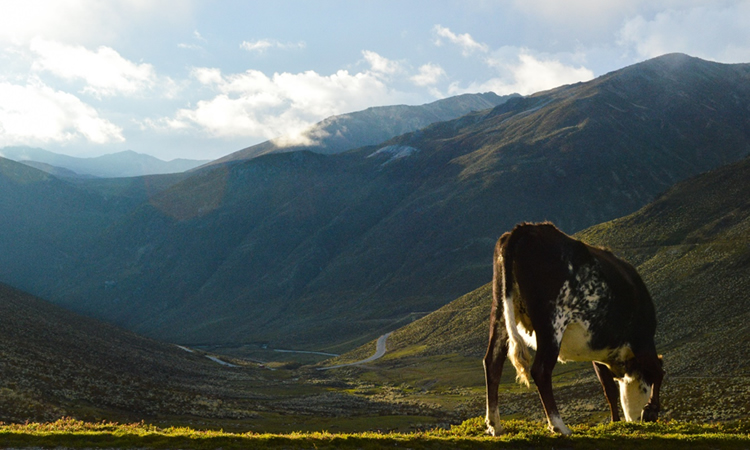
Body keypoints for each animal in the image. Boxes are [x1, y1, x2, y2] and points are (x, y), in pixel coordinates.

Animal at [482, 223, 664, 434]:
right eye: (644, 388)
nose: (634, 420)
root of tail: (526, 229)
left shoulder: (599, 353)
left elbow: (608, 389)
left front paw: (615, 421)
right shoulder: (642, 340)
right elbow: (658, 371)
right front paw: (650, 410)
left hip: (500, 310)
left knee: (493, 362)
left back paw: (495, 425)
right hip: (552, 320)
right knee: (541, 370)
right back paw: (559, 426)